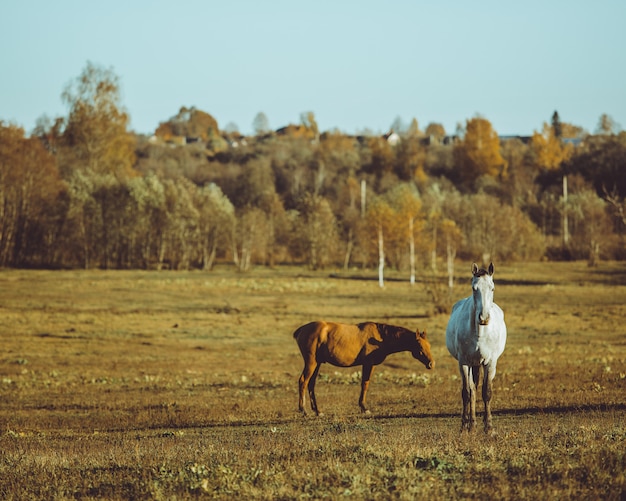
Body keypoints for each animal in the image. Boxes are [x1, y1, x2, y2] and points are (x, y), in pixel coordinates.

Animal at [294, 320, 434, 414]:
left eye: (429, 345)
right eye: (420, 346)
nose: (431, 364)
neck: (380, 337)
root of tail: (301, 329)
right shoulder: (368, 364)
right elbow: (365, 384)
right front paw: (364, 407)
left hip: (317, 363)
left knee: (311, 384)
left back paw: (317, 411)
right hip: (311, 362)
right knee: (303, 381)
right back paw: (303, 409)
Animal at [446, 264, 504, 432]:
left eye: (492, 288)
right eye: (474, 288)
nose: (483, 318)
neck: (480, 333)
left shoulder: (490, 363)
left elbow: (487, 392)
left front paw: (489, 426)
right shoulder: (464, 363)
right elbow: (467, 392)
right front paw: (465, 426)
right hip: (473, 364)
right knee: (472, 389)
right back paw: (471, 424)